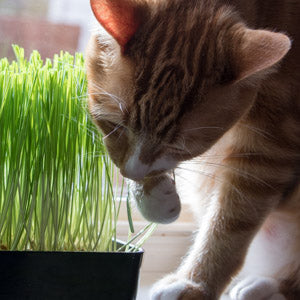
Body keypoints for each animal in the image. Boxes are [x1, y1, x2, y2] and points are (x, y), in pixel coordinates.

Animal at [85, 0, 300, 300]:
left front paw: (196, 283)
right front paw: (156, 198)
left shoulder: (270, 149)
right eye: (114, 125)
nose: (131, 173)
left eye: (178, 145)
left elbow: (230, 223)